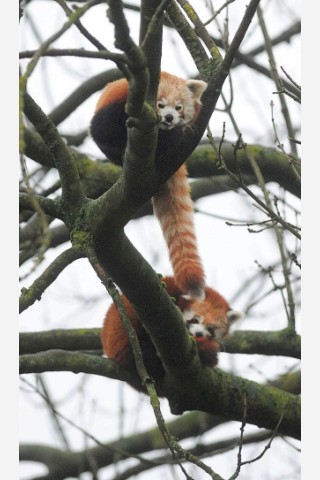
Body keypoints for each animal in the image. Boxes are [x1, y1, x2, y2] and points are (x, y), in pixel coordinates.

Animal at [90, 71, 208, 298]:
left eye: (178, 107)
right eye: (160, 104)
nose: (169, 118)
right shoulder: (112, 110)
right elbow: (100, 132)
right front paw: (120, 151)